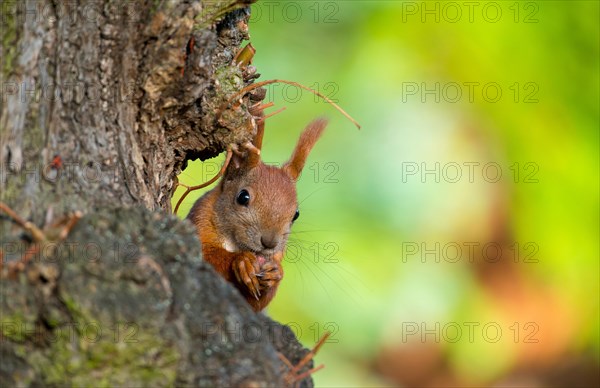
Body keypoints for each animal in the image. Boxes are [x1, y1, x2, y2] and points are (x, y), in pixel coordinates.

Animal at [189, 118, 326, 312]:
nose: (269, 243)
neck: (235, 243)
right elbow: (205, 254)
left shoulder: (277, 254)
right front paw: (242, 261)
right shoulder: (200, 219)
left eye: (296, 214)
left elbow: (256, 304)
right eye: (243, 197)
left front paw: (276, 273)